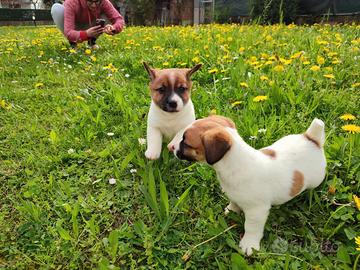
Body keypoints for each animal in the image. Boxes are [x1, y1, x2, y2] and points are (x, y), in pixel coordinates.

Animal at [172, 115, 326, 255]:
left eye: (185, 142)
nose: (171, 147)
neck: (235, 163)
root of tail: (312, 139)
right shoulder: (235, 195)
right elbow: (234, 202)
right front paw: (232, 210)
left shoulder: (257, 211)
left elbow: (251, 228)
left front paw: (249, 244)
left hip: (316, 179)